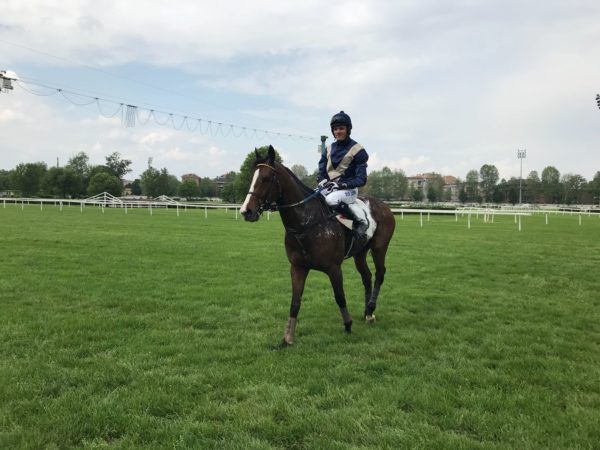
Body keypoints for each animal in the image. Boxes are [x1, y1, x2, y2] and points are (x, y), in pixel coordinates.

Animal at [241, 146, 396, 346]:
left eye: (266, 178)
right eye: (251, 177)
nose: (246, 211)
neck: (307, 223)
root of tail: (385, 206)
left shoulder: (334, 267)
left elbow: (340, 296)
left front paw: (348, 325)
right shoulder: (298, 267)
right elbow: (295, 301)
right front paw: (287, 339)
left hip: (379, 248)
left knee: (379, 274)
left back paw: (370, 308)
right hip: (360, 252)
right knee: (367, 276)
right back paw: (367, 312)